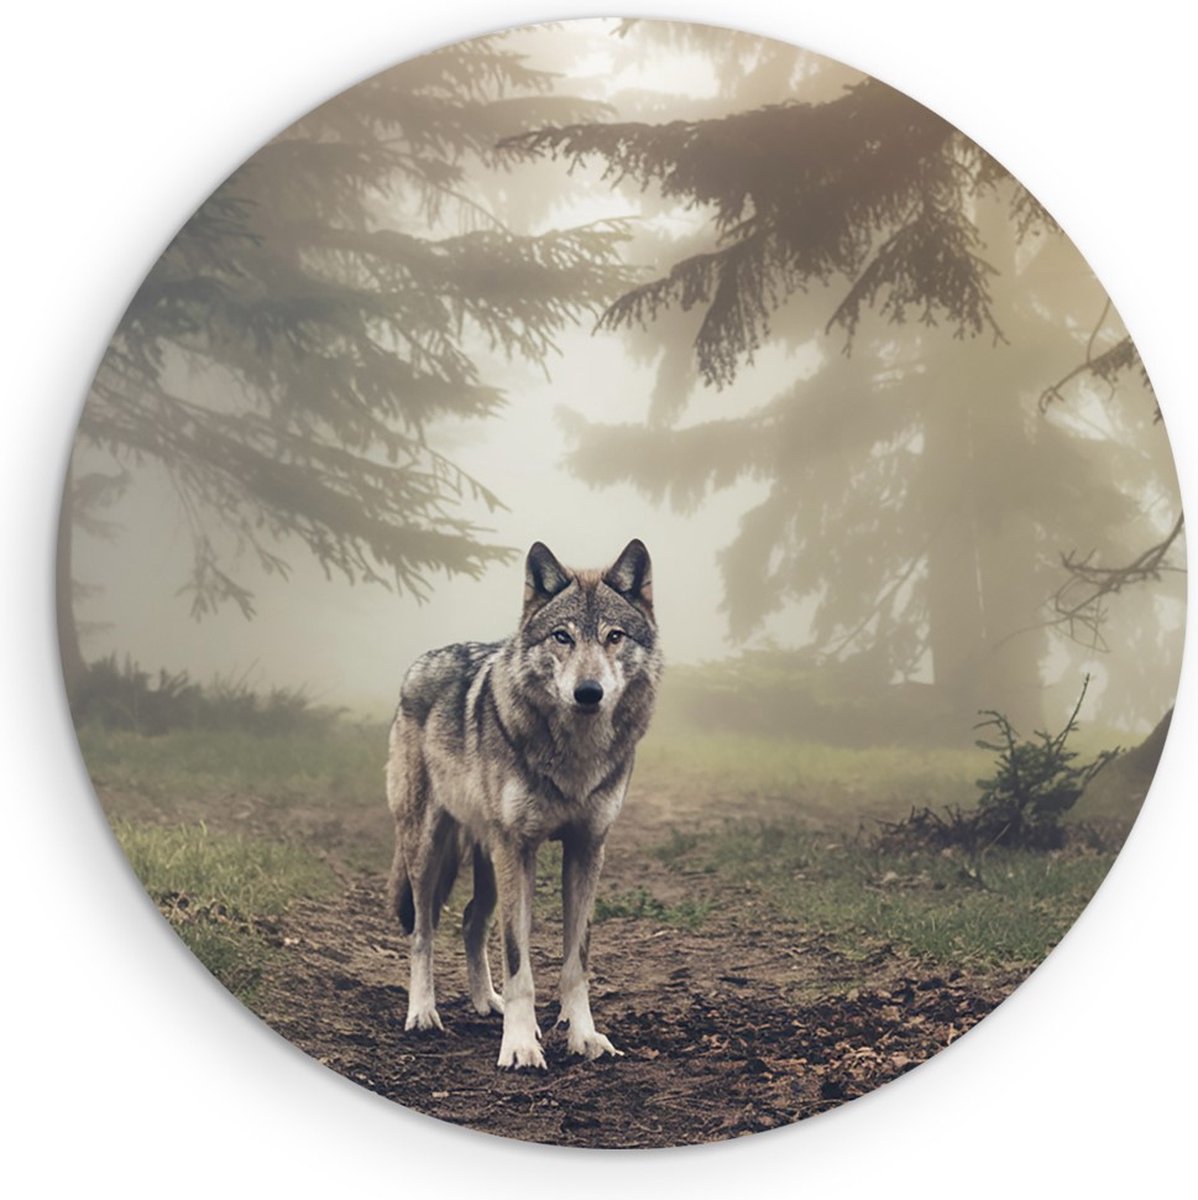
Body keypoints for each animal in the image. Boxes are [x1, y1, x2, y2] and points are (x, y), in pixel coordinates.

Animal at [385, 539, 662, 1069]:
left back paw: (485, 1002)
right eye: (562, 637)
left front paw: (583, 1037)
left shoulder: (587, 848)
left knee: (471, 921)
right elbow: (519, 962)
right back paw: (423, 1014)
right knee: (424, 931)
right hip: (430, 850)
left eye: (614, 637)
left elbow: (576, 963)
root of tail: (418, 665)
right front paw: (518, 1046)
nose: (589, 692)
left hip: (489, 860)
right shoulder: (519, 848)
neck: (575, 756)